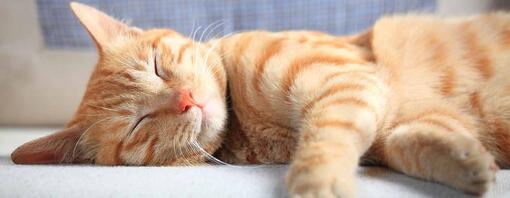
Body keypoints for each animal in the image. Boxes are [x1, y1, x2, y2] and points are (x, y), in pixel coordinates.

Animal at [9, 1, 508, 198]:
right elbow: (414, 141)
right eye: (139, 122)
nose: (187, 99)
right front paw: (468, 164)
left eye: (155, 66)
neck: (248, 128)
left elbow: (324, 140)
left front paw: (316, 184)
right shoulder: (382, 117)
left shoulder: (348, 81)